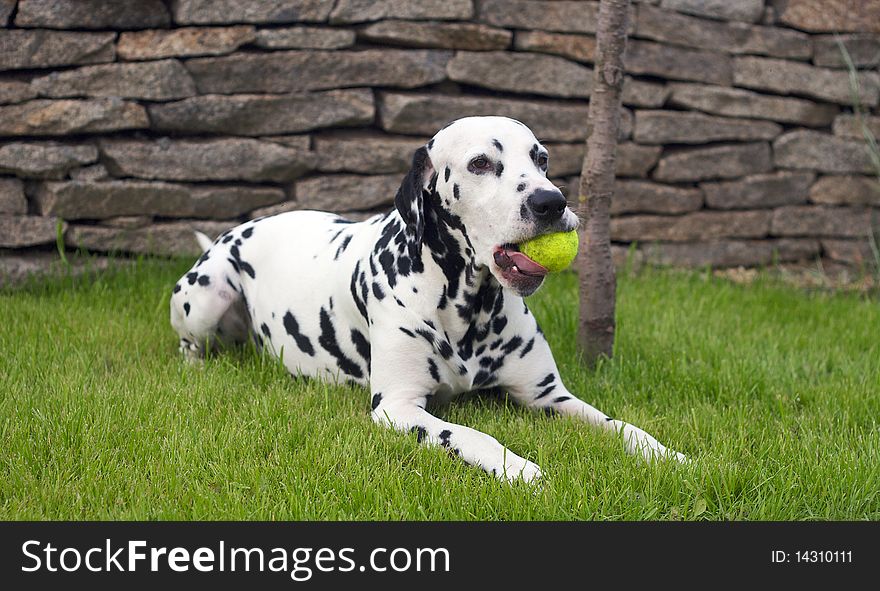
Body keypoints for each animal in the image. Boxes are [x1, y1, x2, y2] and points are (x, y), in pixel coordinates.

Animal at [168, 117, 684, 486]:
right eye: (480, 163)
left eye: (541, 158)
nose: (551, 202)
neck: (469, 306)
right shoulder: (397, 408)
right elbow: (472, 435)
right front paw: (518, 468)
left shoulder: (550, 396)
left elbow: (619, 424)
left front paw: (666, 453)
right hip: (207, 293)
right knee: (189, 346)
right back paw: (196, 370)